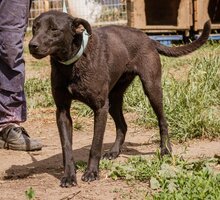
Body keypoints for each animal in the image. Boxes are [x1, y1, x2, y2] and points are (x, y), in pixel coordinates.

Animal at [28, 10, 211, 187]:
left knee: (162, 121)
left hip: (151, 88)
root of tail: (148, 38)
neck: (71, 64)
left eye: (54, 29)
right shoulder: (62, 111)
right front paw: (68, 176)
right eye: (35, 27)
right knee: (123, 125)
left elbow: (95, 145)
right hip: (114, 99)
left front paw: (92, 172)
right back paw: (114, 151)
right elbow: (66, 147)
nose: (31, 45)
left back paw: (165, 149)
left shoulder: (100, 108)